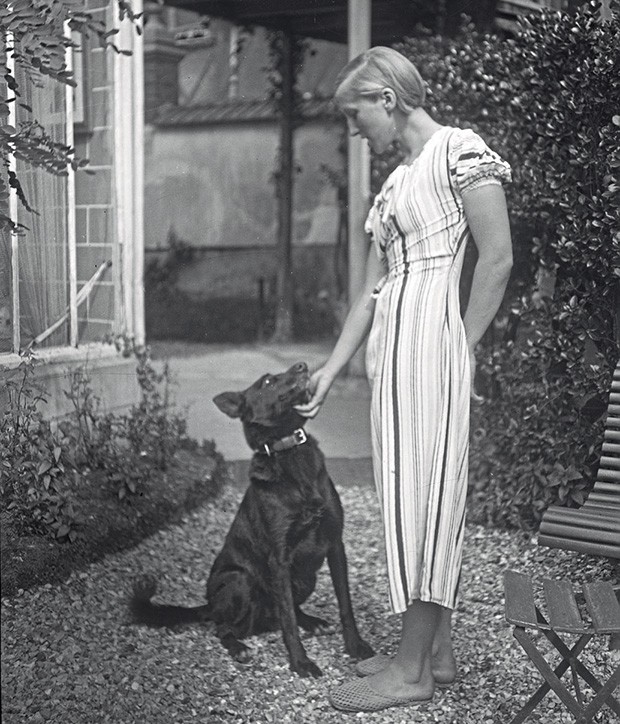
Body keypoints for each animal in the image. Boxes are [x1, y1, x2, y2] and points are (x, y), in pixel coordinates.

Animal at [130, 362, 372, 680]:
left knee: (283, 612)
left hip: (307, 578)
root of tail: (210, 605)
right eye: (267, 381)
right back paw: (238, 647)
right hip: (240, 581)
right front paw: (300, 662)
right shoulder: (279, 558)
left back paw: (311, 621)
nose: (303, 365)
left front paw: (355, 646)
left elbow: (345, 604)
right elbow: (288, 621)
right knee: (225, 628)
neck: (288, 449)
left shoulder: (335, 545)